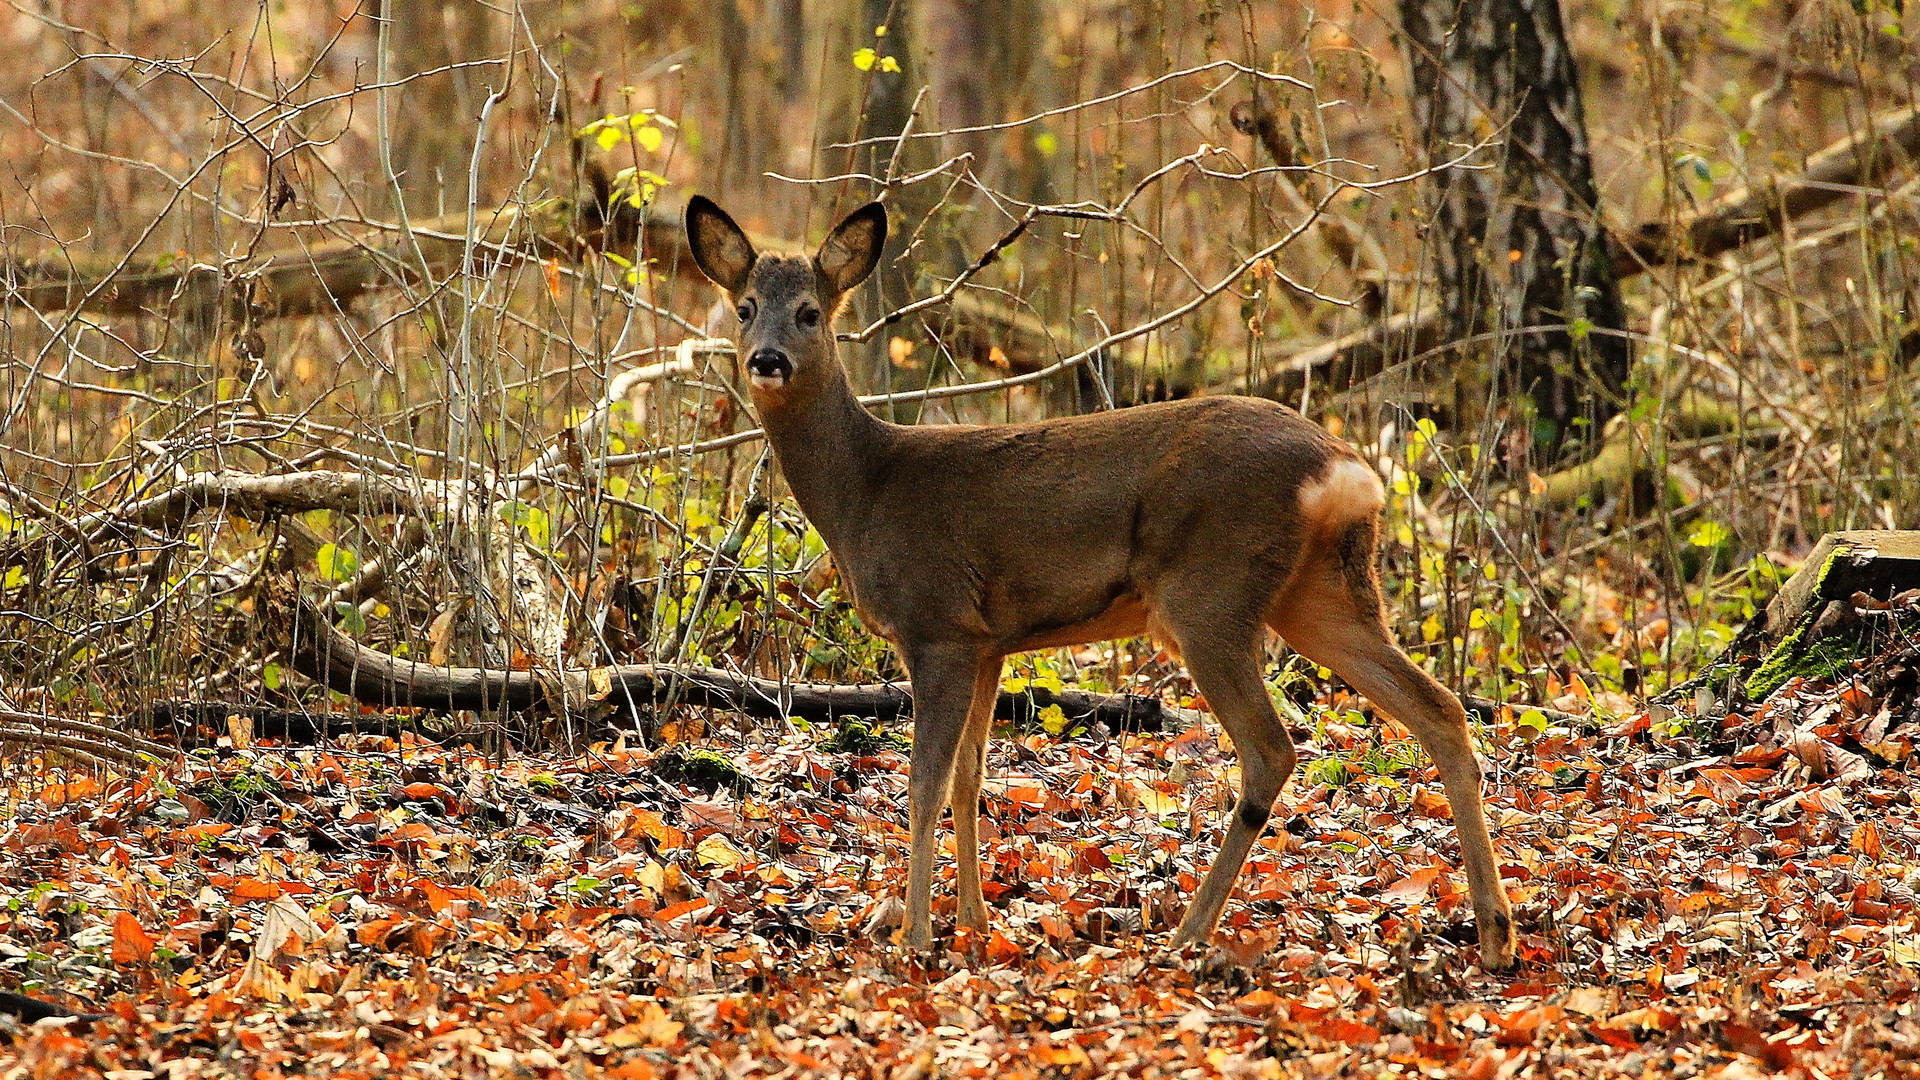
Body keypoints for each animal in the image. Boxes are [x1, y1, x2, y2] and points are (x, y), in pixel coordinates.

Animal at [687, 193, 1512, 968]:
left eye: (810, 312)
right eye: (744, 307)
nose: (766, 359)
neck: (866, 490)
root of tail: (1340, 469)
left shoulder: (937, 624)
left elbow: (922, 785)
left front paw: (916, 936)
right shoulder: (987, 643)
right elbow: (968, 778)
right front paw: (974, 923)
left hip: (1210, 594)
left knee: (1273, 748)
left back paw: (1187, 933)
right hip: (1321, 592)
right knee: (1439, 708)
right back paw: (1496, 932)